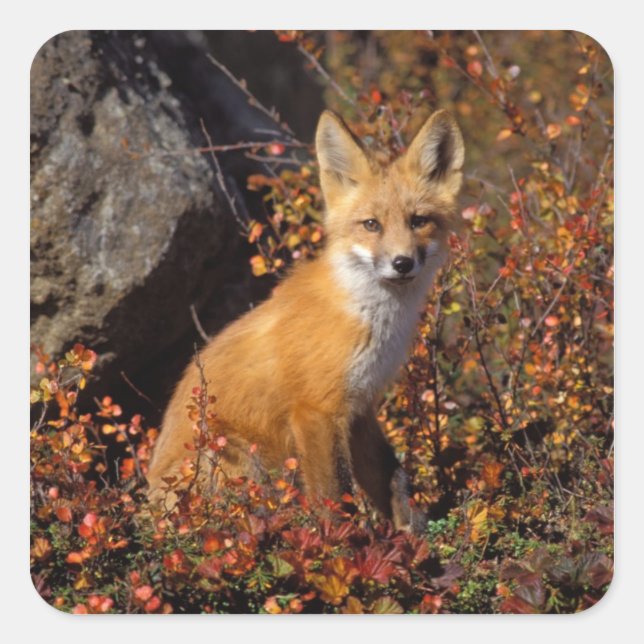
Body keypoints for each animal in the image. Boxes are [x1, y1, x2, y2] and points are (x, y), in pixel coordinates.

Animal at [146, 108, 465, 531]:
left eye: (418, 221)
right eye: (371, 224)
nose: (402, 263)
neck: (370, 319)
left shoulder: (360, 407)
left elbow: (392, 477)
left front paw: (410, 532)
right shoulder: (317, 410)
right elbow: (336, 497)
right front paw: (347, 543)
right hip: (241, 459)